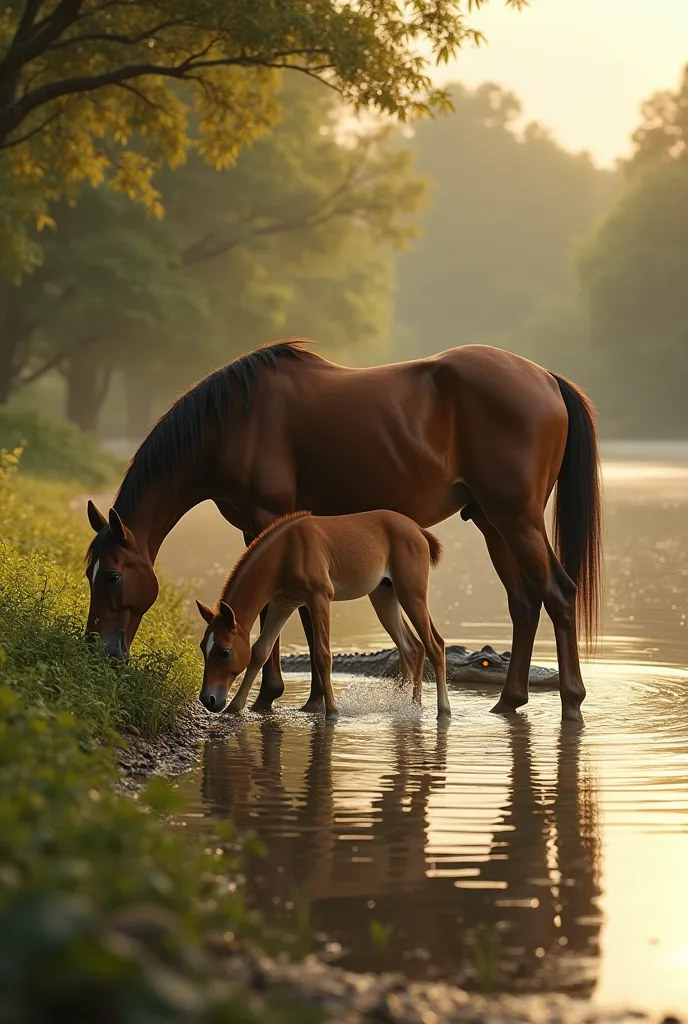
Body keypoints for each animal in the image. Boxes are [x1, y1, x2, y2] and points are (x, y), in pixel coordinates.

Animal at [196, 512, 448, 720]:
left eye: (225, 651)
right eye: (202, 648)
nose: (208, 700)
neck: (287, 550)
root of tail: (419, 530)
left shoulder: (319, 598)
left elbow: (322, 655)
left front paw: (333, 712)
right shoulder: (282, 604)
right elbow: (260, 651)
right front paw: (235, 707)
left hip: (411, 594)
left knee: (435, 645)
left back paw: (443, 710)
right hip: (384, 597)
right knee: (413, 648)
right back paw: (413, 707)